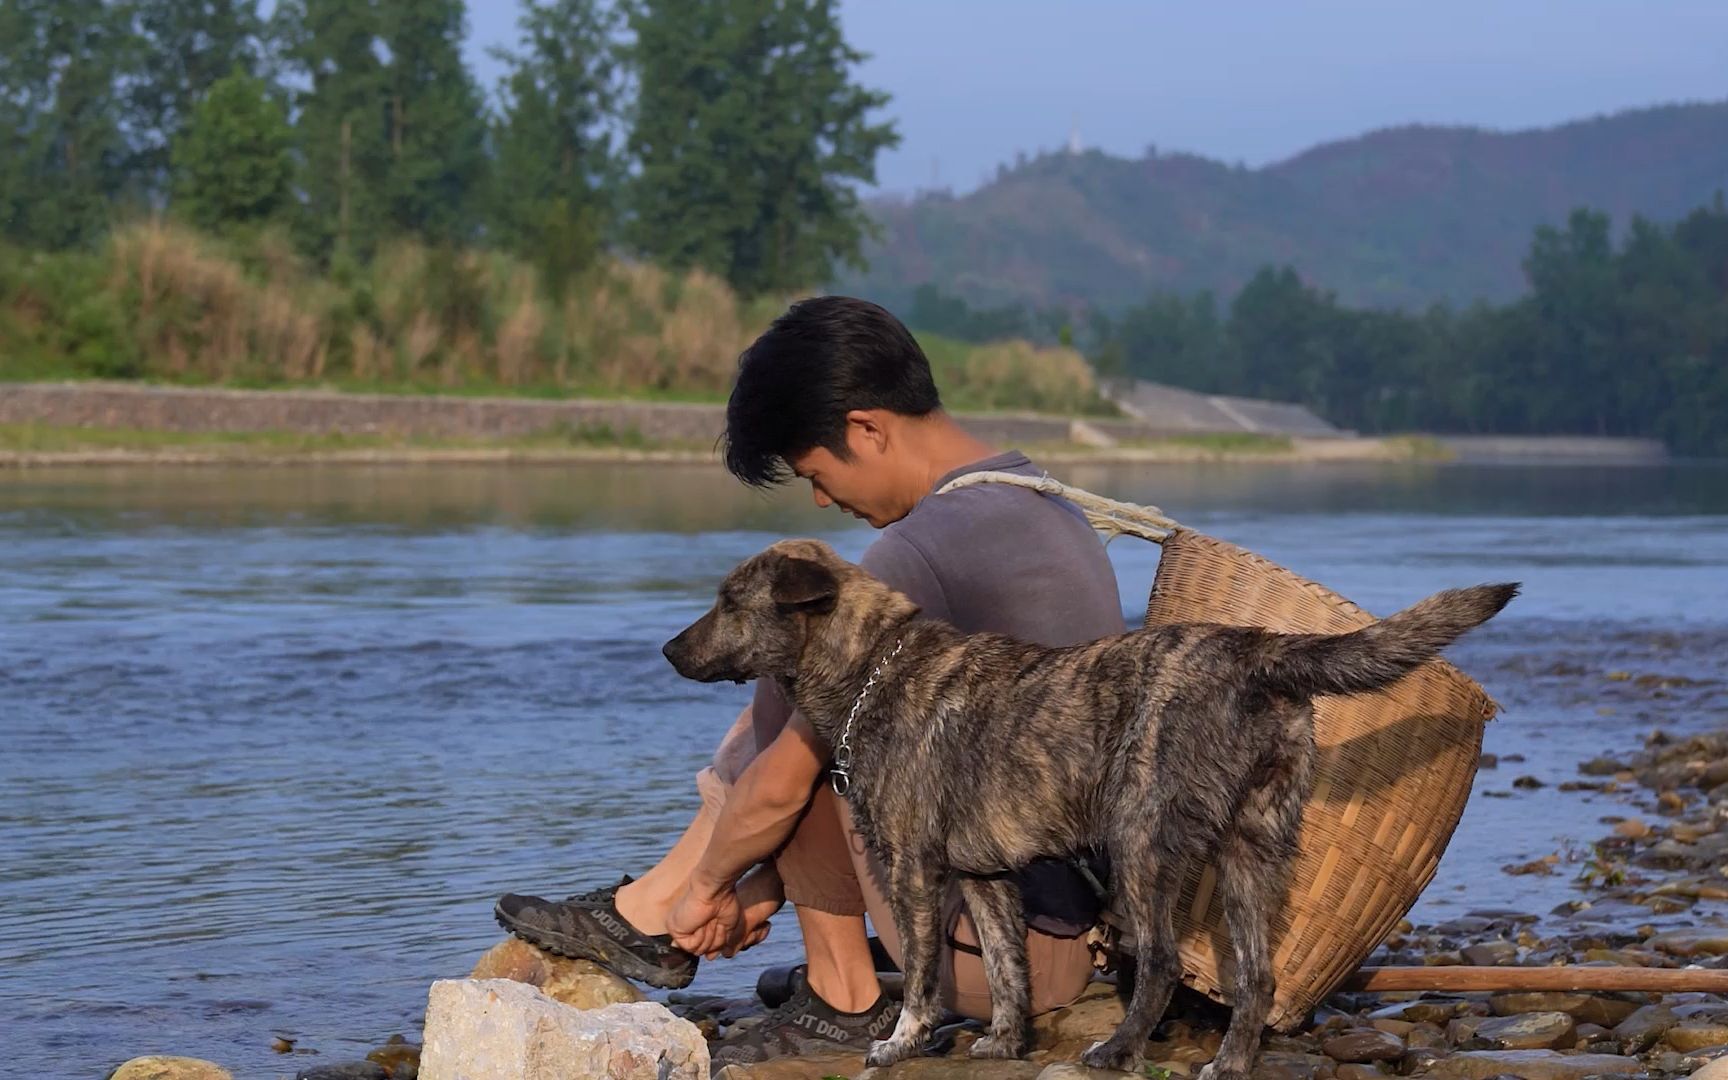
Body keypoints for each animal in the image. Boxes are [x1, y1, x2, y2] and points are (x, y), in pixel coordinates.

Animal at [660, 535, 1513, 1071]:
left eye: (730, 600)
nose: (669, 649)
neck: (873, 665)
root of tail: (1253, 652)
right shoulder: (985, 881)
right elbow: (1007, 972)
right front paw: (1006, 1043)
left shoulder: (912, 874)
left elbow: (925, 983)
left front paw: (900, 1046)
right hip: (1253, 853)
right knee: (1259, 978)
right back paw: (1230, 1062)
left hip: (1138, 841)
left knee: (1161, 960)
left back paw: (1119, 1051)